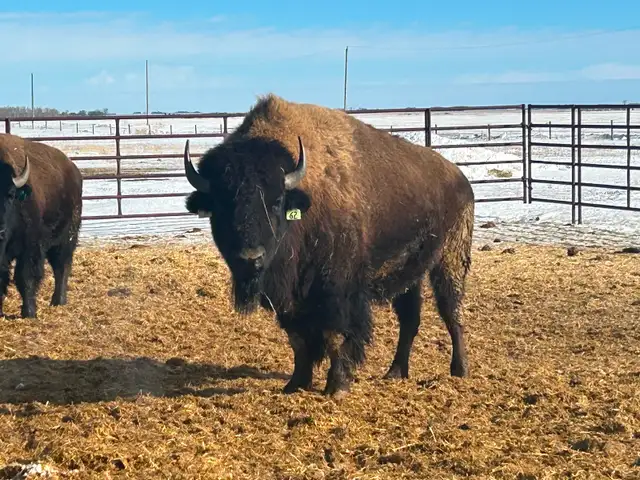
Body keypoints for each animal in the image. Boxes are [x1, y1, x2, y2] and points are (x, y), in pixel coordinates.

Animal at [0, 133, 83, 319]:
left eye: (10, 195)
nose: (0, 231)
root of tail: (73, 169)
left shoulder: (31, 246)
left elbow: (26, 276)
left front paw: (29, 313)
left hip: (66, 238)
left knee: (62, 266)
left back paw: (58, 301)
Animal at [183, 94, 475, 398]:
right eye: (220, 206)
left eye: (277, 202)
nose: (250, 258)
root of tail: (460, 178)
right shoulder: (290, 300)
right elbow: (297, 339)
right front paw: (295, 383)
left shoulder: (337, 290)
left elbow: (336, 335)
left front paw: (337, 386)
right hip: (409, 272)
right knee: (410, 319)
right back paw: (395, 372)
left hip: (451, 259)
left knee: (452, 312)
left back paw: (460, 369)